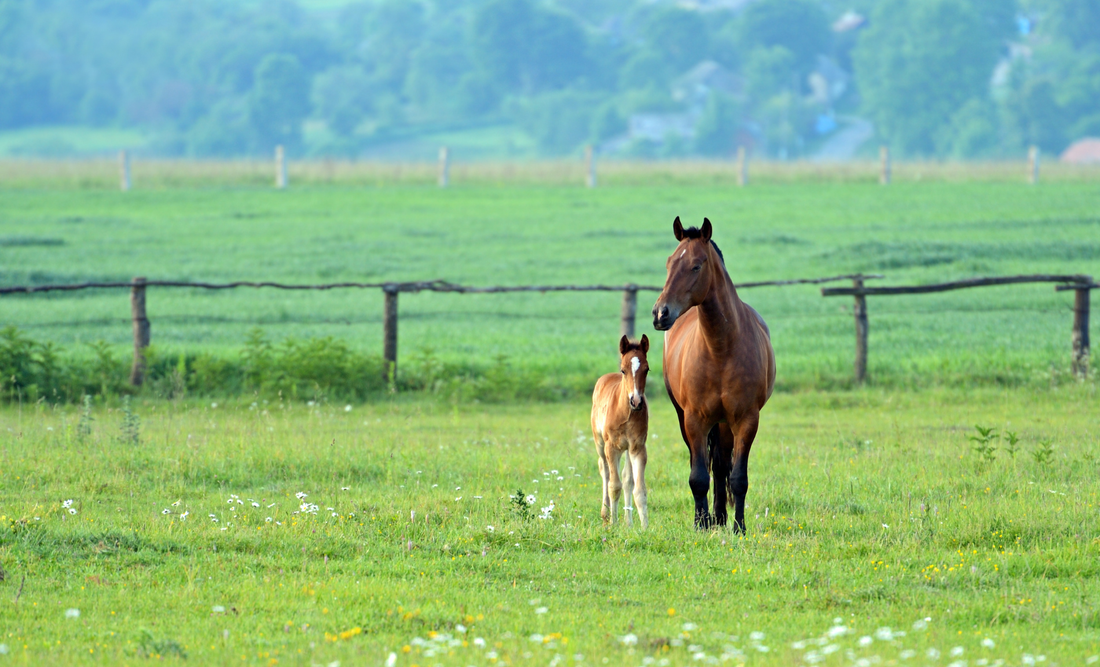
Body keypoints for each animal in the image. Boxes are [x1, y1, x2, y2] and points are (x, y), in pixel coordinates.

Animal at [591, 334, 651, 528]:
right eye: (623, 370)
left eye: (647, 369)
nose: (636, 401)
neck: (626, 413)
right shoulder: (612, 447)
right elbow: (614, 485)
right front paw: (614, 524)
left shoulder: (637, 448)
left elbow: (638, 490)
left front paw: (645, 528)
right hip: (600, 443)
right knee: (605, 471)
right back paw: (605, 515)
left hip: (627, 449)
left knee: (627, 480)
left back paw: (629, 522)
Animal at [651, 217, 775, 531]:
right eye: (669, 262)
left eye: (696, 266)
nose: (660, 314)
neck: (721, 348)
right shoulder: (694, 420)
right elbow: (697, 477)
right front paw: (700, 523)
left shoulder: (746, 420)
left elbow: (738, 478)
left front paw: (739, 527)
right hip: (686, 418)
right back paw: (710, 517)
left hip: (724, 423)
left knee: (720, 466)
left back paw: (720, 516)